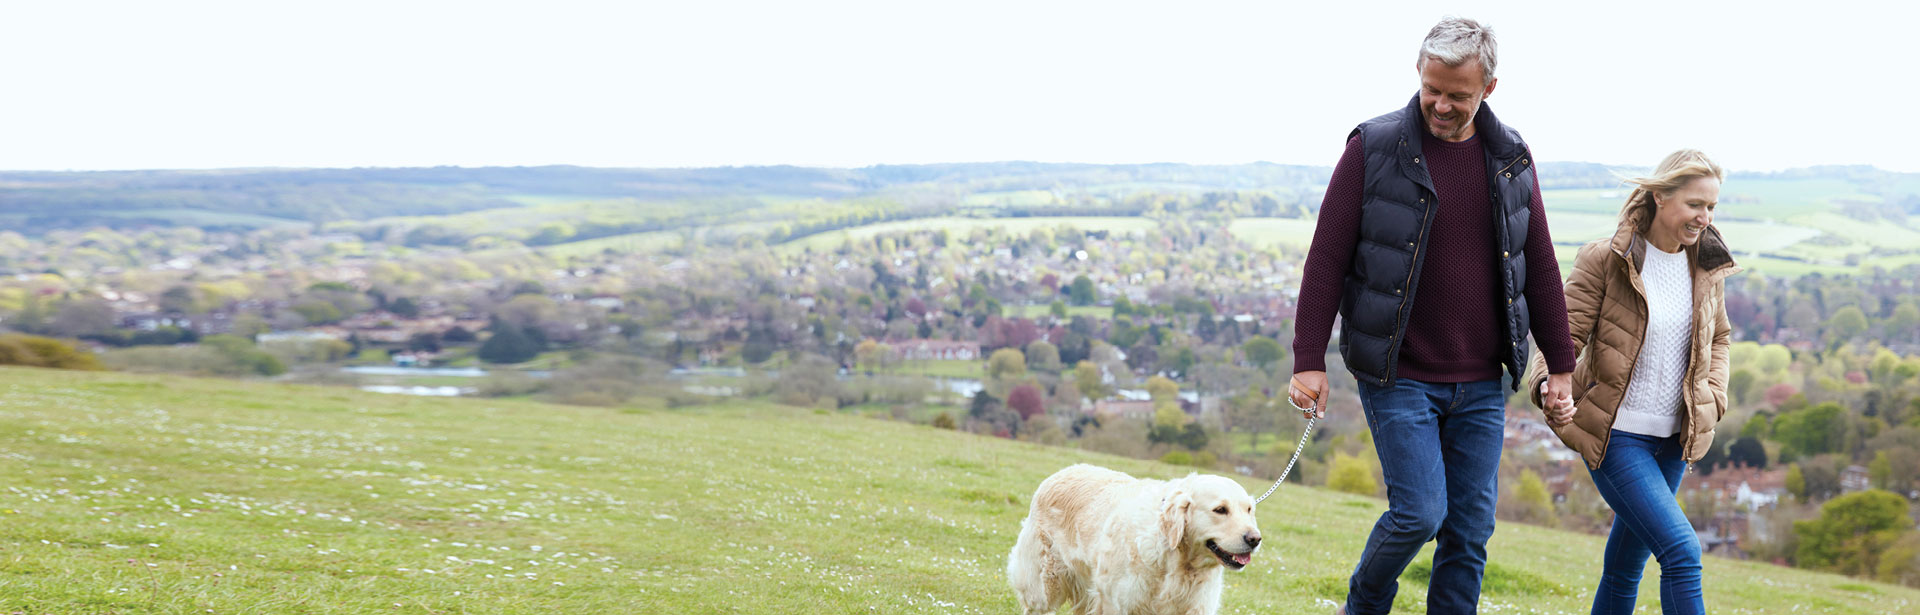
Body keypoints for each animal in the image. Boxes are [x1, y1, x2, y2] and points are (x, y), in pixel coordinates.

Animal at [1006, 463, 1259, 611]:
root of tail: (1062, 471)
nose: (1255, 539)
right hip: (1043, 587)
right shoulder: (1117, 603)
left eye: (1248, 510)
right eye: (1220, 510)